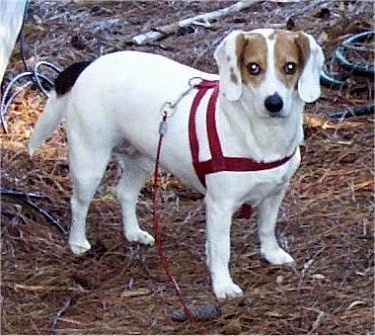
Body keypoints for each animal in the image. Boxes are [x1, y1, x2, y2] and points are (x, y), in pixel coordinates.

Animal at [27, 28, 324, 300]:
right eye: (253, 68)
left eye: (290, 67)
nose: (274, 103)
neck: (264, 137)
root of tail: (91, 63)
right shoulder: (219, 205)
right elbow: (222, 250)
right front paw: (223, 285)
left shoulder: (275, 194)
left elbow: (266, 228)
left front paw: (271, 253)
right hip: (89, 162)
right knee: (79, 204)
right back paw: (77, 242)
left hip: (143, 160)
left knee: (125, 194)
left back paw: (134, 233)